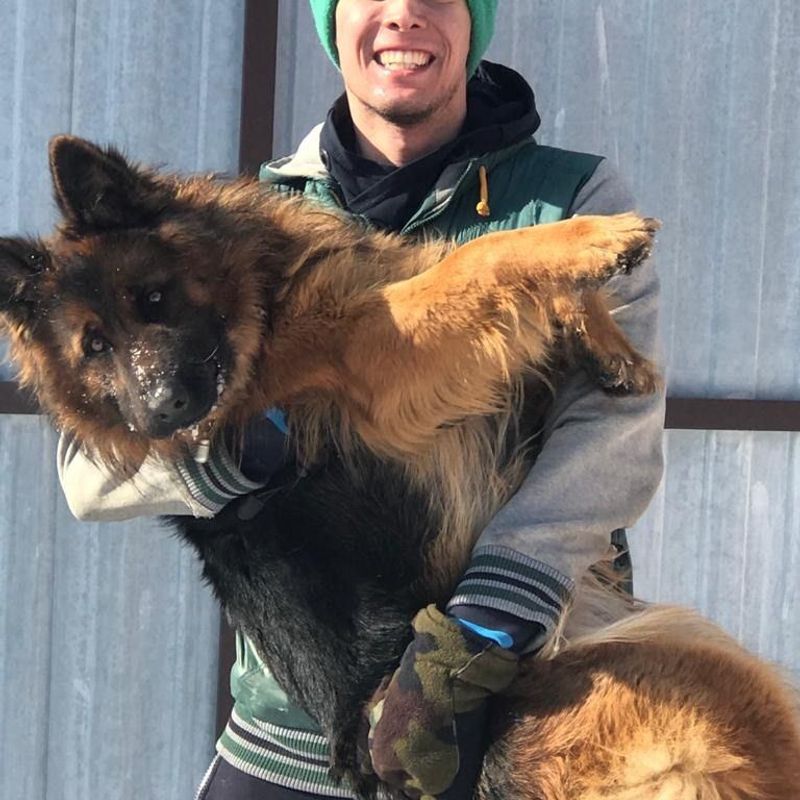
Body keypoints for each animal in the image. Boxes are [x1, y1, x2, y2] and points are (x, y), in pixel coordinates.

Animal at [1, 134, 800, 796]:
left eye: (154, 297)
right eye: (94, 347)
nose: (164, 412)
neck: (268, 303)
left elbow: (485, 268)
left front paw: (611, 345)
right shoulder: (380, 350)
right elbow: (485, 254)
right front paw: (596, 241)